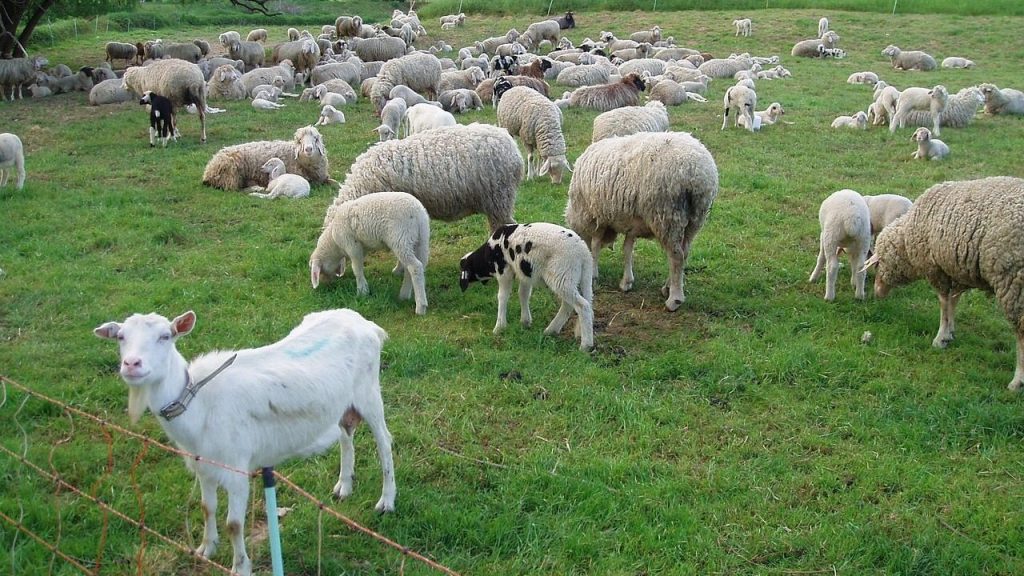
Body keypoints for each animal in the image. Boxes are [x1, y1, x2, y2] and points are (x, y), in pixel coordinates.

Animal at [93, 308, 395, 576]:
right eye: (120, 336)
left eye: (165, 336)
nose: (132, 364)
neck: (198, 404)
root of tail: (369, 325)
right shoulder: (203, 466)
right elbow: (207, 507)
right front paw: (206, 548)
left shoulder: (236, 469)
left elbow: (235, 524)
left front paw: (240, 567)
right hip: (342, 404)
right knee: (346, 434)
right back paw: (344, 486)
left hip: (369, 392)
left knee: (384, 442)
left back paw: (386, 501)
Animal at [460, 223, 594, 350]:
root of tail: (584, 253)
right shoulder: (525, 273)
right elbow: (523, 294)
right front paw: (525, 321)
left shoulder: (504, 271)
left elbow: (502, 297)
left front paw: (499, 327)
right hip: (580, 277)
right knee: (571, 304)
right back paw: (551, 330)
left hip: (562, 275)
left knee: (582, 306)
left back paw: (585, 345)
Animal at [565, 131, 719, 311]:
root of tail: (697, 172)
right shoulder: (630, 224)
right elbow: (627, 249)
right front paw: (626, 282)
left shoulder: (596, 218)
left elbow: (595, 248)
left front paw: (594, 276)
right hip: (694, 219)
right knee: (685, 252)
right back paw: (668, 287)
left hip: (666, 215)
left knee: (676, 256)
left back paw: (674, 299)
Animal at [864, 176, 1024, 390]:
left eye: (879, 265)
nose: (877, 293)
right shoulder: (956, 268)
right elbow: (953, 302)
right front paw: (950, 332)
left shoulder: (935, 268)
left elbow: (943, 303)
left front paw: (941, 337)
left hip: (1013, 282)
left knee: (1021, 332)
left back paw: (1017, 381)